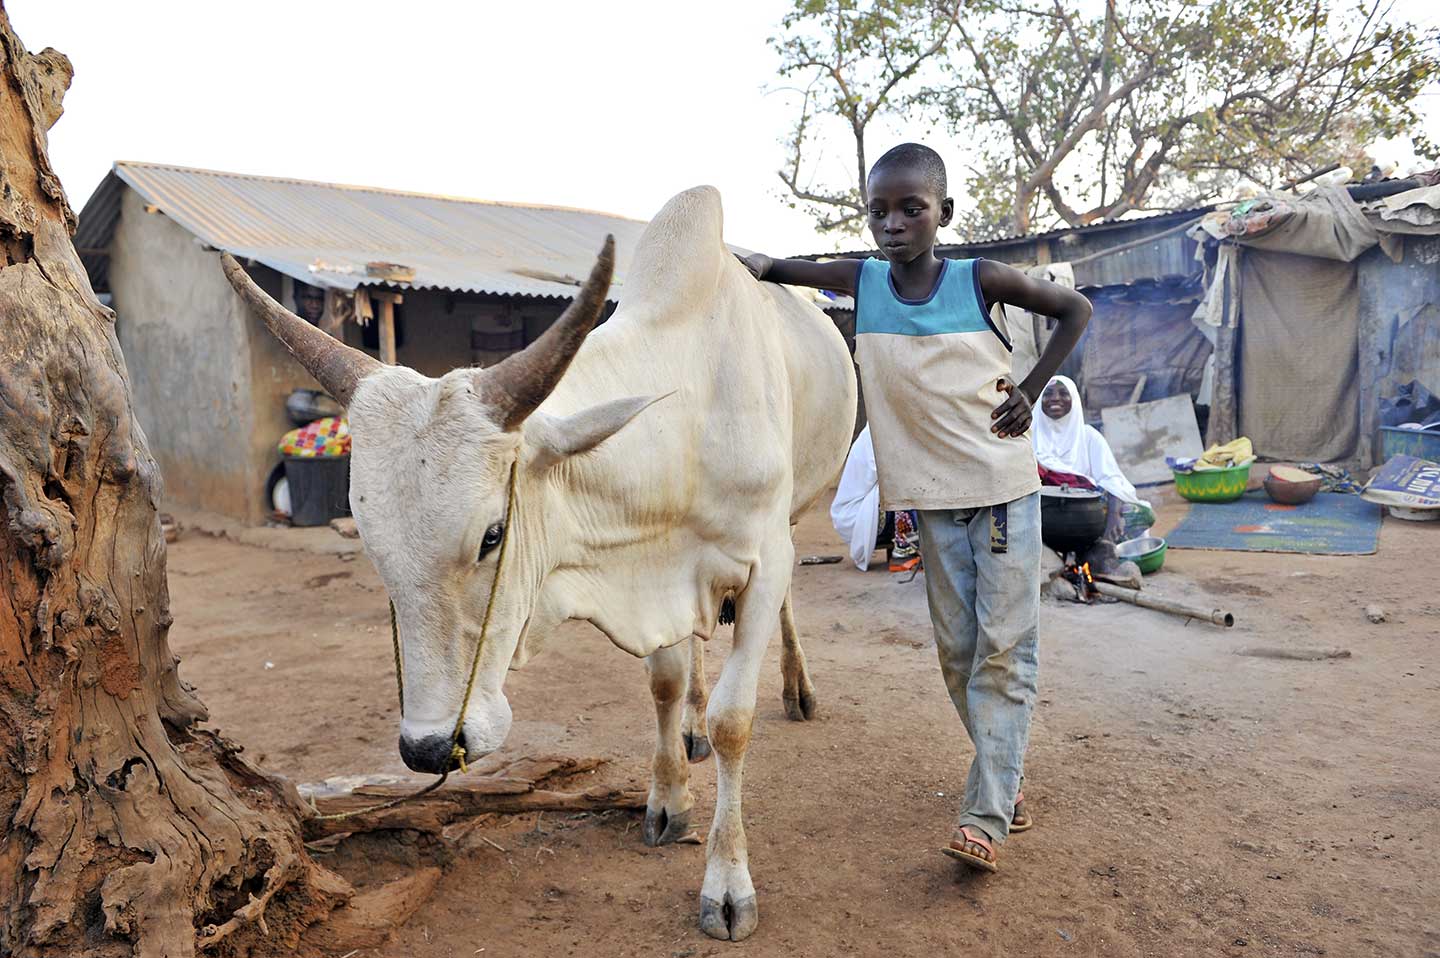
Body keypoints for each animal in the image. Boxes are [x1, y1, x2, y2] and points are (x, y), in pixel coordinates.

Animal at [221, 188, 852, 939]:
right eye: (373, 548)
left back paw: (797, 689)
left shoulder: (761, 559)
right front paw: (669, 797)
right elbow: (665, 684)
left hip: (797, 515)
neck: (689, 421)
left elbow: (736, 721)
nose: (429, 750)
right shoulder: (660, 577)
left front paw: (727, 884)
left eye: (493, 535)